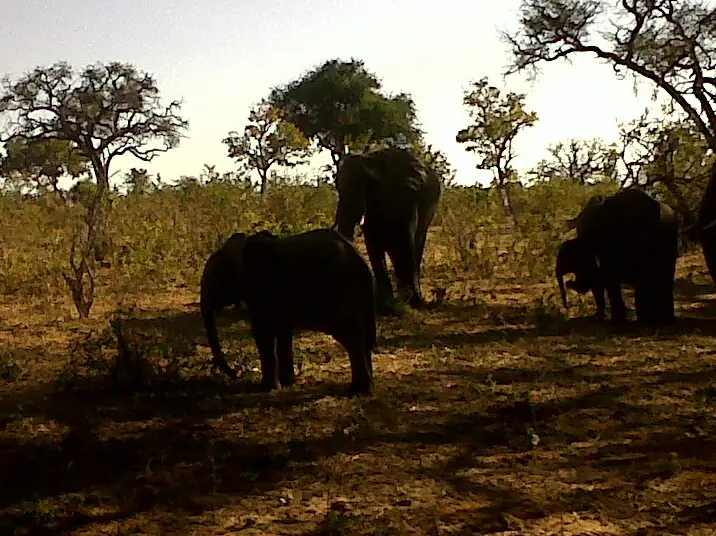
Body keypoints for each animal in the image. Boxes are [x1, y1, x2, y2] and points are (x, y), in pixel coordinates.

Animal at [200, 228, 376, 396]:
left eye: (213, 280)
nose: (236, 375)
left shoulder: (262, 288)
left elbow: (262, 332)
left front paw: (266, 388)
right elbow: (282, 331)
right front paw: (288, 383)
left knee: (350, 337)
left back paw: (356, 392)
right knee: (363, 339)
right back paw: (362, 389)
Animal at [332, 147, 442, 315]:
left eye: (362, 185)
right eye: (338, 188)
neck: (372, 164)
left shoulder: (404, 195)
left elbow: (405, 241)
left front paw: (410, 304)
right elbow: (373, 245)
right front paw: (385, 307)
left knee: (413, 246)